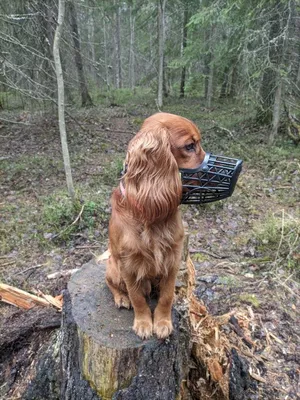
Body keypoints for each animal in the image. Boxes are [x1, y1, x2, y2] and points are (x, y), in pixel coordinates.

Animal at [106, 112, 206, 338]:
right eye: (190, 146)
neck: (152, 217)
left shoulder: (173, 257)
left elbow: (167, 295)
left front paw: (162, 322)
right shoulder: (128, 264)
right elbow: (137, 297)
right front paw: (144, 323)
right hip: (112, 267)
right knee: (111, 284)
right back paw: (121, 297)